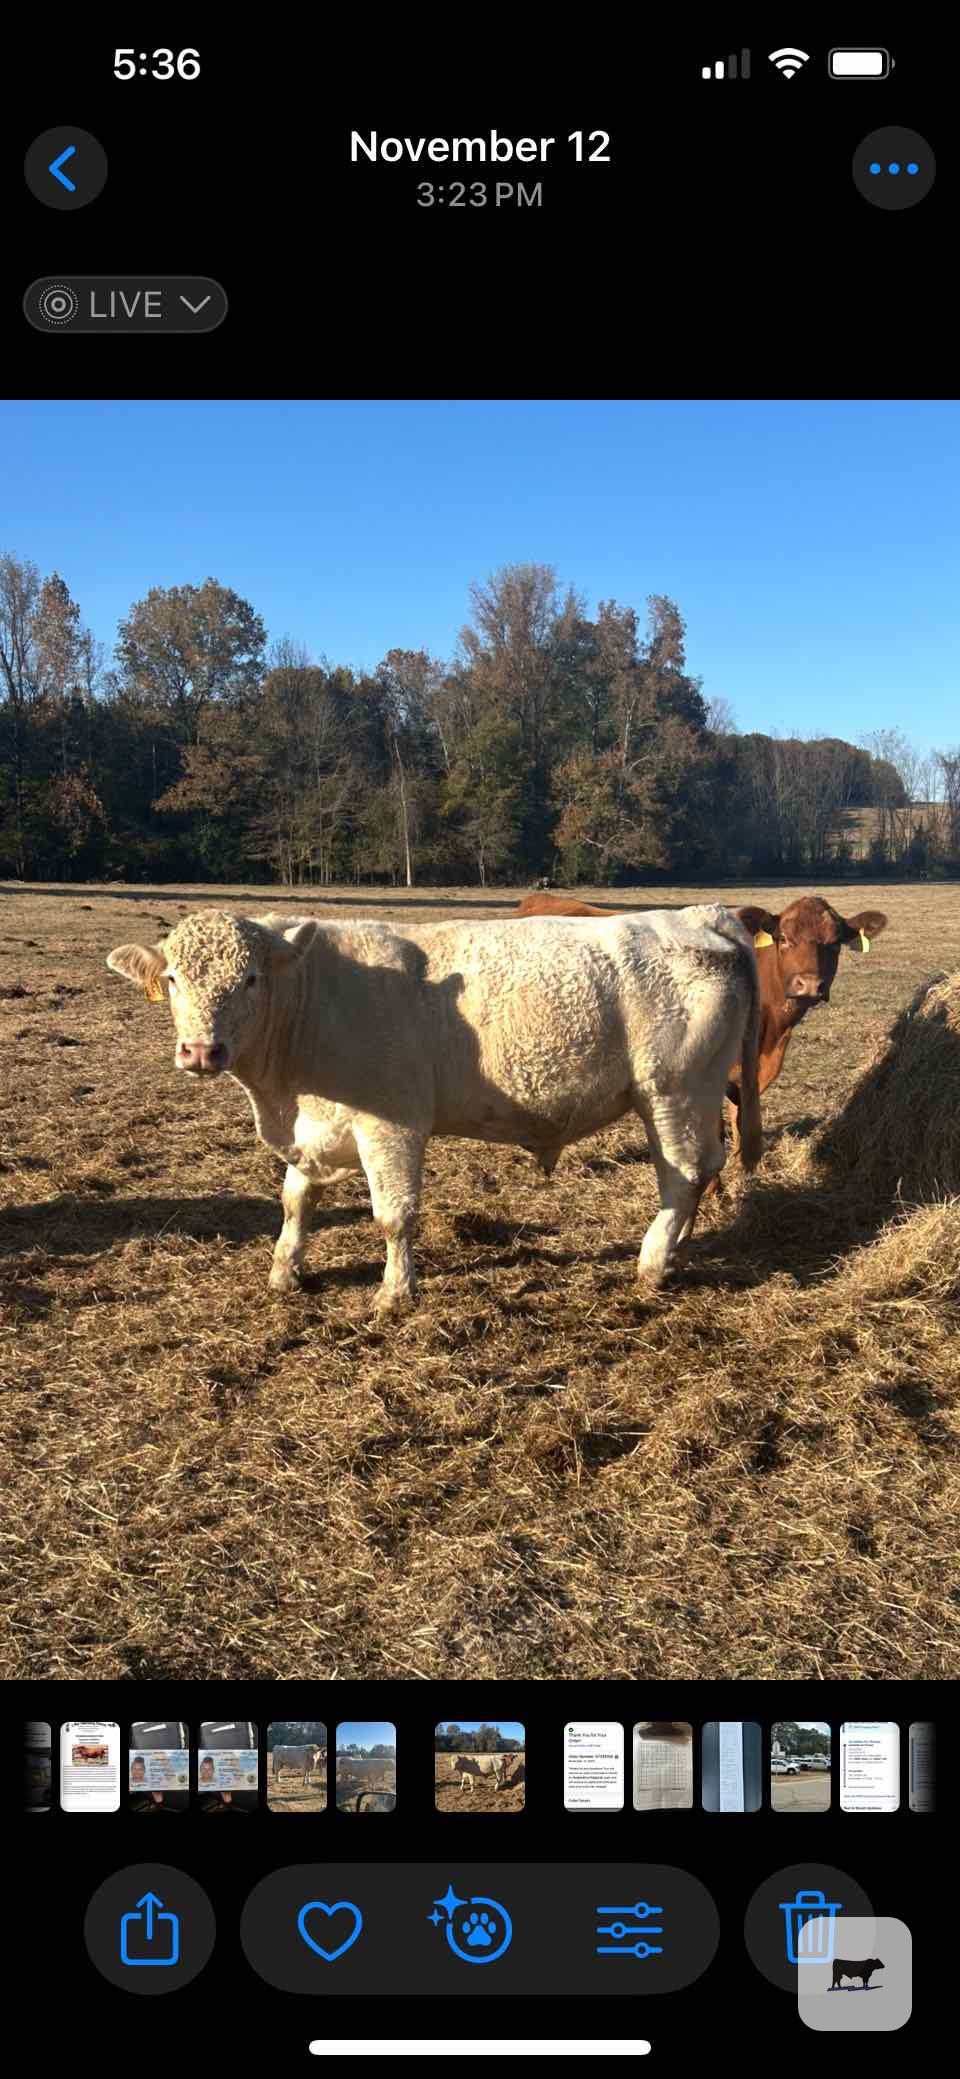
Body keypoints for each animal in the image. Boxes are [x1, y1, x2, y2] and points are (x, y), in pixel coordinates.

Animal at [106, 903, 762, 1305]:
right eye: (172, 979)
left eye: (249, 980)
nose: (200, 1050)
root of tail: (701, 916)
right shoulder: (315, 1127)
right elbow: (295, 1202)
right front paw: (284, 1272)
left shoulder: (390, 1125)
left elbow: (393, 1215)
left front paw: (394, 1294)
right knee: (703, 1171)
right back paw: (676, 1253)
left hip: (673, 1091)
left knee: (684, 1173)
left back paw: (653, 1262)